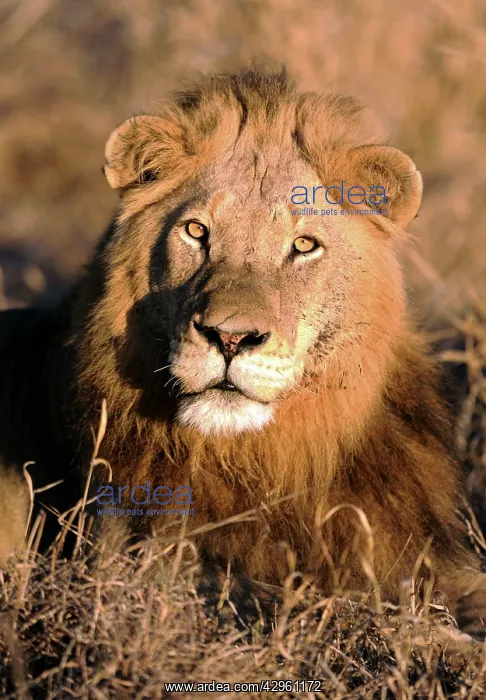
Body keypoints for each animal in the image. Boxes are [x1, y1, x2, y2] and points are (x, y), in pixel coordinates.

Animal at [1, 67, 485, 636]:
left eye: (303, 246)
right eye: (196, 232)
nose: (230, 338)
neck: (266, 461)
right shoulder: (135, 563)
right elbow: (324, 605)